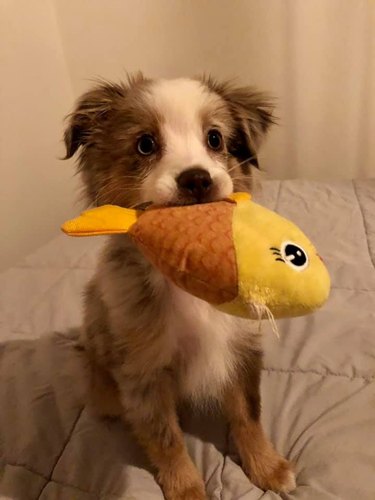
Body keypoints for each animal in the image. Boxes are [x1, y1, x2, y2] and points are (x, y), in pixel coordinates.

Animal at [63, 72, 296, 498]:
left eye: (215, 139)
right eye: (145, 144)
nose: (197, 179)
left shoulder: (240, 348)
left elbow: (248, 414)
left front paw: (268, 468)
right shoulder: (142, 371)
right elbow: (165, 436)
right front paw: (186, 487)